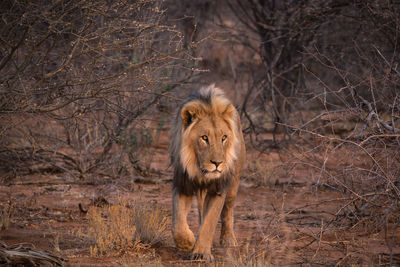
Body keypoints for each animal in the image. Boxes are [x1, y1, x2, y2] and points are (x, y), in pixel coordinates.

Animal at [168, 85, 245, 262]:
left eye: (224, 138)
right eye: (204, 138)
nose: (217, 163)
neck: (199, 171)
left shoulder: (218, 189)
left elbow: (210, 222)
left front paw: (201, 252)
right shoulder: (183, 185)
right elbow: (178, 222)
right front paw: (187, 243)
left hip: (233, 183)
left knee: (228, 210)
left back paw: (228, 239)